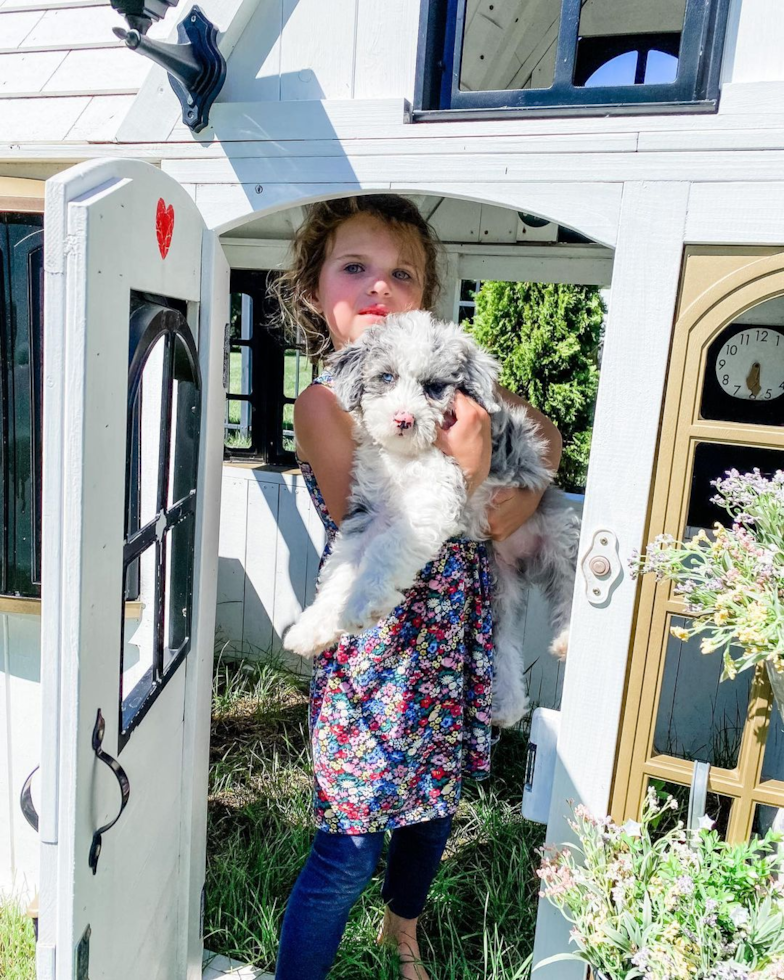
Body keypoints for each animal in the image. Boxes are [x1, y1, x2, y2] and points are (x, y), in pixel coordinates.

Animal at [284, 312, 580, 728]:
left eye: (435, 387)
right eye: (386, 377)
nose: (404, 419)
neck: (405, 459)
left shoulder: (432, 499)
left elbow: (385, 551)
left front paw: (363, 605)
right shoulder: (368, 512)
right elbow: (341, 570)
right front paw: (312, 629)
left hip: (558, 538)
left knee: (570, 587)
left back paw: (568, 640)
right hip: (499, 581)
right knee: (505, 639)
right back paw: (506, 706)